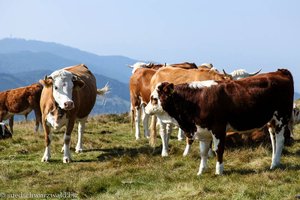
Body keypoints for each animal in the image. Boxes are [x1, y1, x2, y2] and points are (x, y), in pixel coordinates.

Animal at [146, 69, 294, 175]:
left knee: (280, 140)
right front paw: (201, 171)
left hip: (281, 118)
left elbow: (218, 149)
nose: (146, 109)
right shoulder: (202, 131)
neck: (197, 100)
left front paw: (219, 171)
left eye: (154, 98)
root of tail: (280, 71)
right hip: (271, 122)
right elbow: (203, 152)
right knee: (274, 140)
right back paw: (274, 162)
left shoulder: (218, 128)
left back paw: (274, 164)